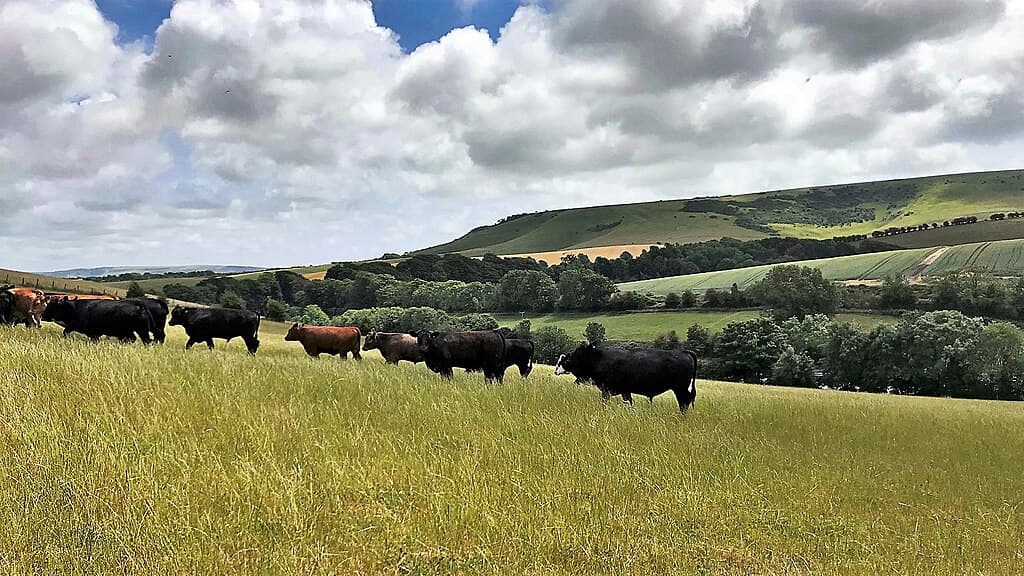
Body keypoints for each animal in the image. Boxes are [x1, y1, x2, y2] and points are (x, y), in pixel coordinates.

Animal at [554, 343, 697, 413]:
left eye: (569, 359)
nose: (556, 370)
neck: (599, 358)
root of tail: (683, 352)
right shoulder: (625, 391)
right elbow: (628, 403)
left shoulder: (606, 391)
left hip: (680, 389)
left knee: (684, 403)